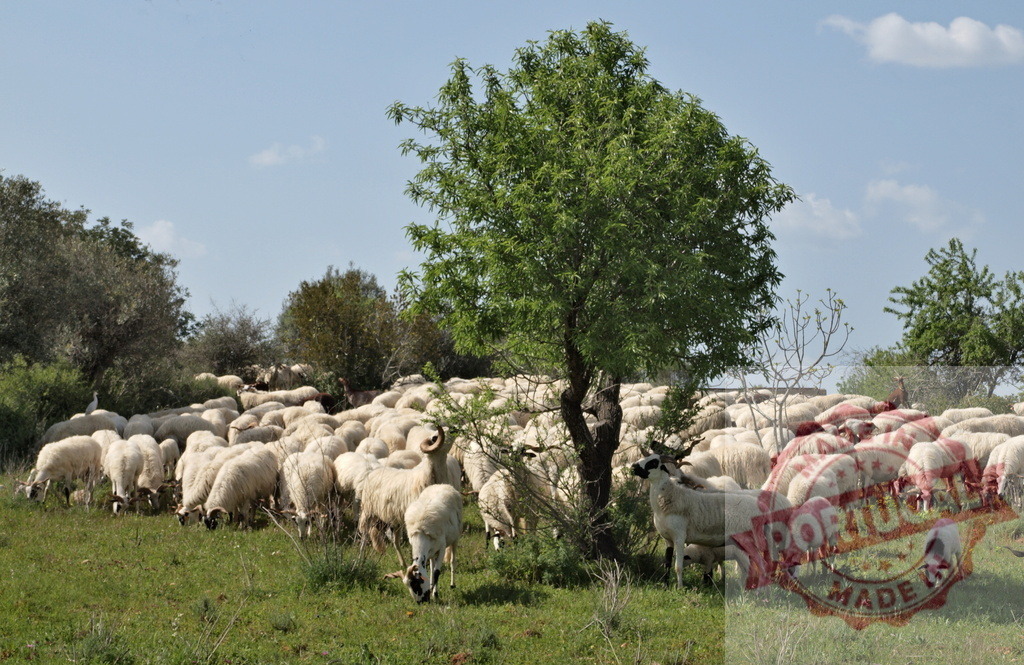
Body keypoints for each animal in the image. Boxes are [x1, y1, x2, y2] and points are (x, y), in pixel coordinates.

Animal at [357, 426, 454, 567]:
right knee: (364, 534)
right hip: (368, 511)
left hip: (393, 519)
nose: (453, 428)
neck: (428, 475)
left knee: (395, 541)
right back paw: (360, 557)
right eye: (435, 437)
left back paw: (402, 563)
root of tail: (374, 471)